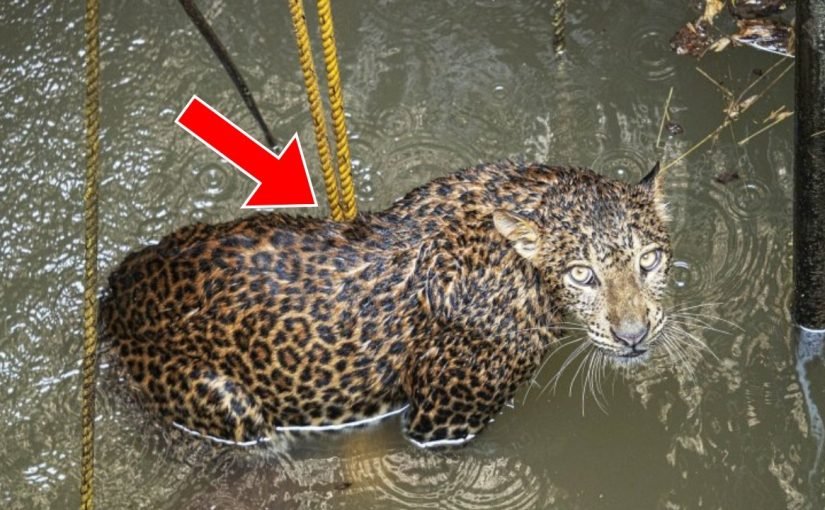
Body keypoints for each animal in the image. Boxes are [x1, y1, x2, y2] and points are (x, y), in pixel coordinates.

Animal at [99, 160, 671, 448]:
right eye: (581, 274)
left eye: (650, 260)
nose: (634, 335)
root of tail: (119, 288)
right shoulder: (439, 423)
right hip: (220, 398)